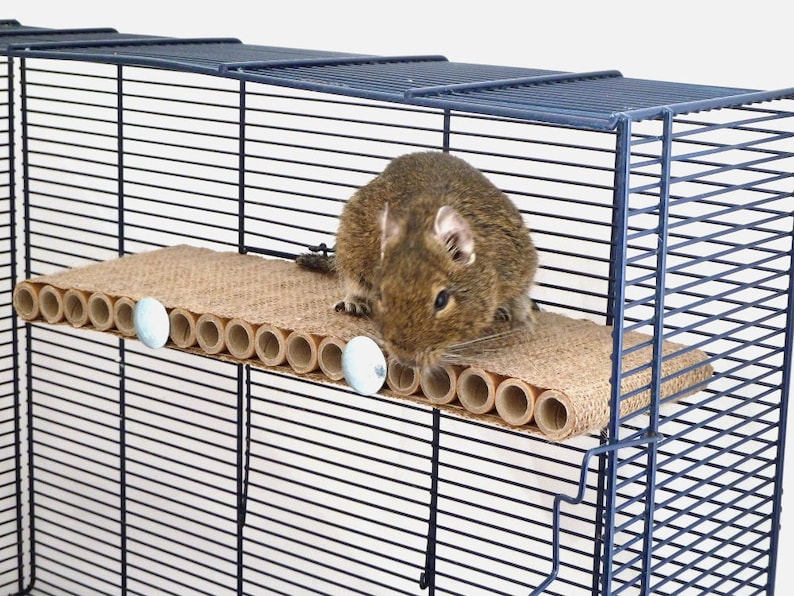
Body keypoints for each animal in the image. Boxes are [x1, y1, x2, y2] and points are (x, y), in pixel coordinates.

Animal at [298, 151, 538, 369]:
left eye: (441, 300)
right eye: (381, 295)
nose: (406, 359)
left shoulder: (522, 264)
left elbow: (521, 297)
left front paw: (522, 319)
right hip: (350, 249)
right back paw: (353, 302)